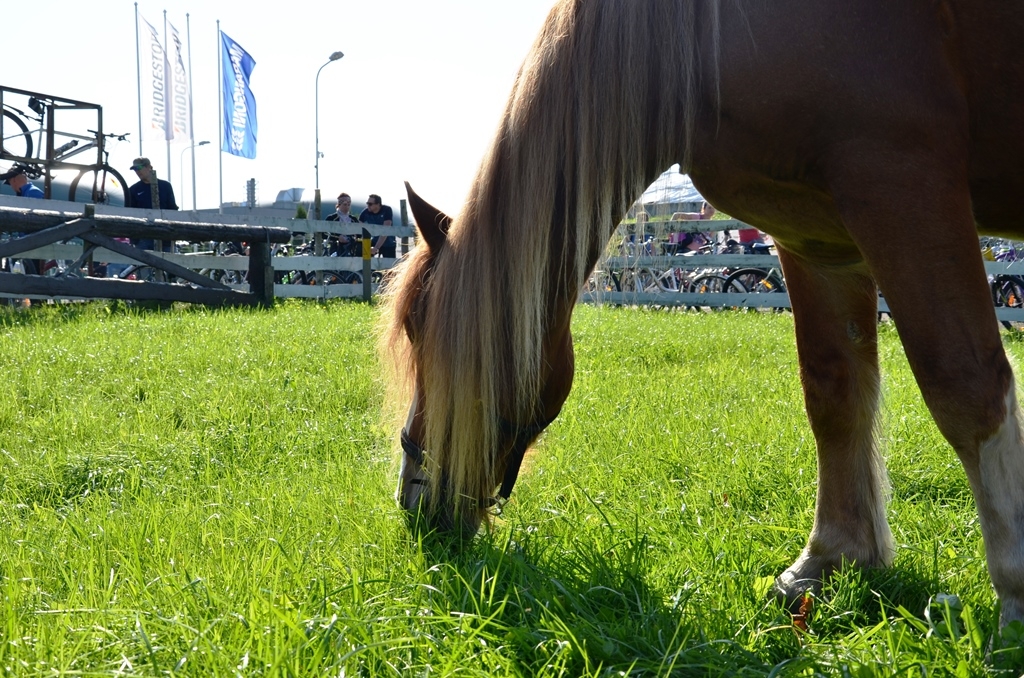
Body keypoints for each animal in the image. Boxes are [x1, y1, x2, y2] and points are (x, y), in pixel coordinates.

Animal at [382, 0, 1024, 626]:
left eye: (422, 333)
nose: (412, 500)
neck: (709, 34)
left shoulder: (900, 184)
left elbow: (966, 390)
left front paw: (1014, 593)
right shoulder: (814, 234)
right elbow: (835, 395)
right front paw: (831, 558)